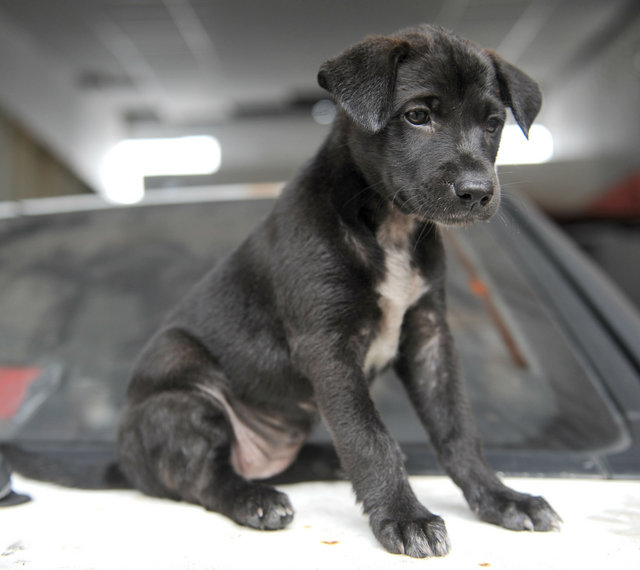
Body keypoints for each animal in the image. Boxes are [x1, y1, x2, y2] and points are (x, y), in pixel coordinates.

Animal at [115, 25, 560, 556]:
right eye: (417, 115)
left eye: (493, 123)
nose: (477, 192)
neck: (391, 226)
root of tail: (123, 462)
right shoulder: (328, 347)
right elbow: (369, 438)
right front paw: (405, 517)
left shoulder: (430, 338)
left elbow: (457, 427)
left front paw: (501, 498)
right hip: (183, 390)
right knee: (204, 477)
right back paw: (253, 499)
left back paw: (323, 463)